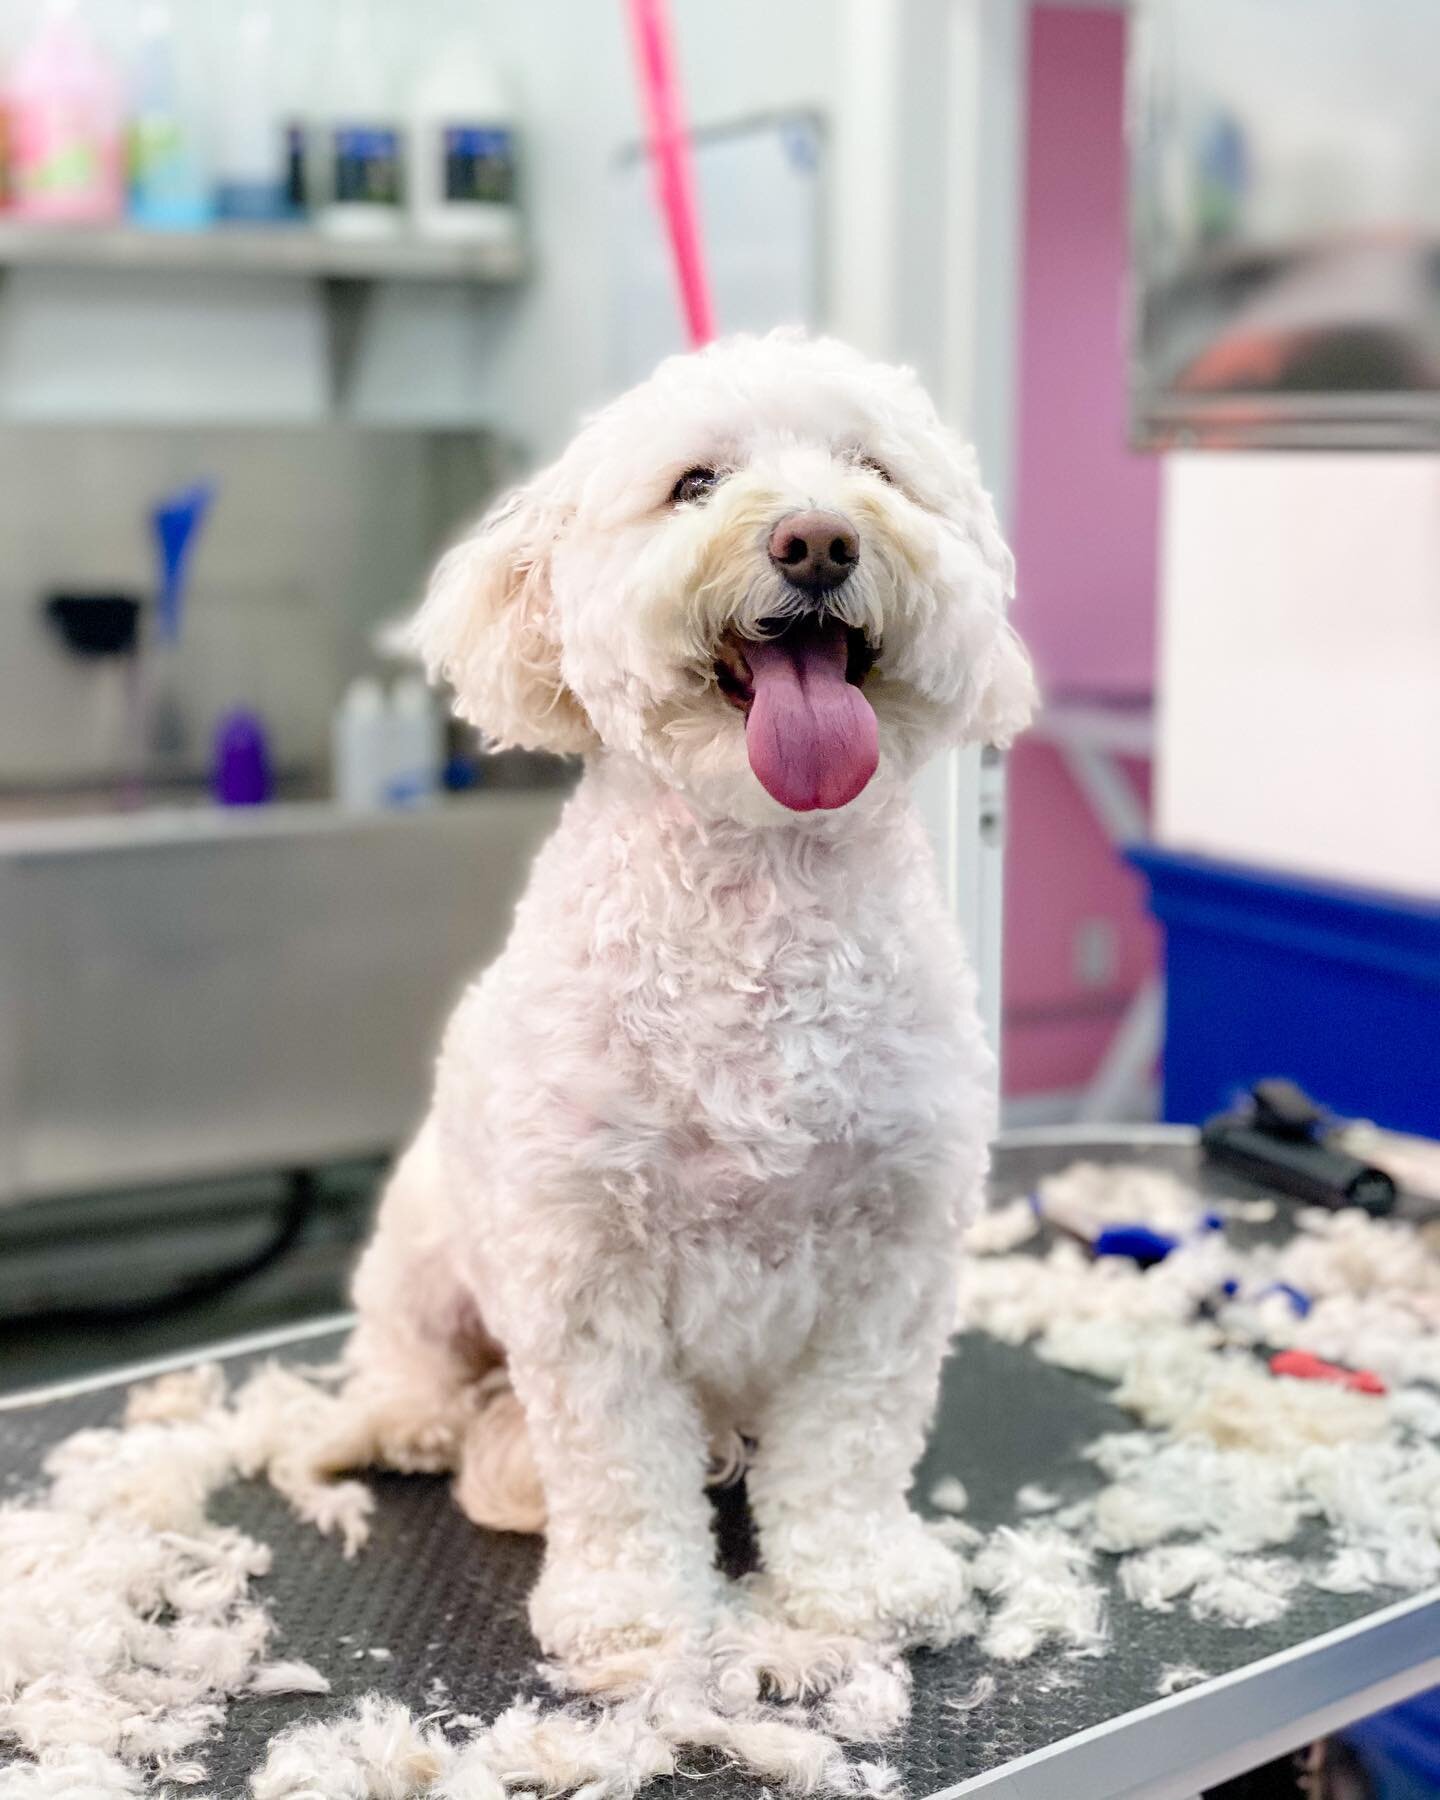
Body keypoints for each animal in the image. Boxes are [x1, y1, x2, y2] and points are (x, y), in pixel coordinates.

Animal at [338, 331, 1036, 1692]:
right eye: (696, 483)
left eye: (875, 471)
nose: (816, 539)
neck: (765, 894)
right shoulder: (582, 1269)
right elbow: (616, 1465)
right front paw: (635, 1615)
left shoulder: (889, 1259)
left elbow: (851, 1445)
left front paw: (856, 1585)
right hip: (431, 1239)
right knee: (405, 1338)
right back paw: (408, 1417)